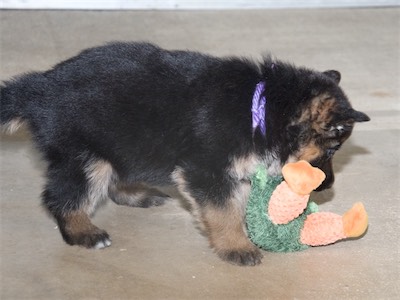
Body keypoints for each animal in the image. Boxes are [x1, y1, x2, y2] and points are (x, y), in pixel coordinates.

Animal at [0, 42, 368, 264]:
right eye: (332, 148)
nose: (327, 187)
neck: (260, 108)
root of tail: (39, 89)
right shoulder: (207, 171)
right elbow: (223, 211)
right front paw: (236, 245)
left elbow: (236, 205)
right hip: (86, 158)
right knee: (60, 197)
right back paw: (83, 232)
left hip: (125, 144)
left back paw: (137, 194)